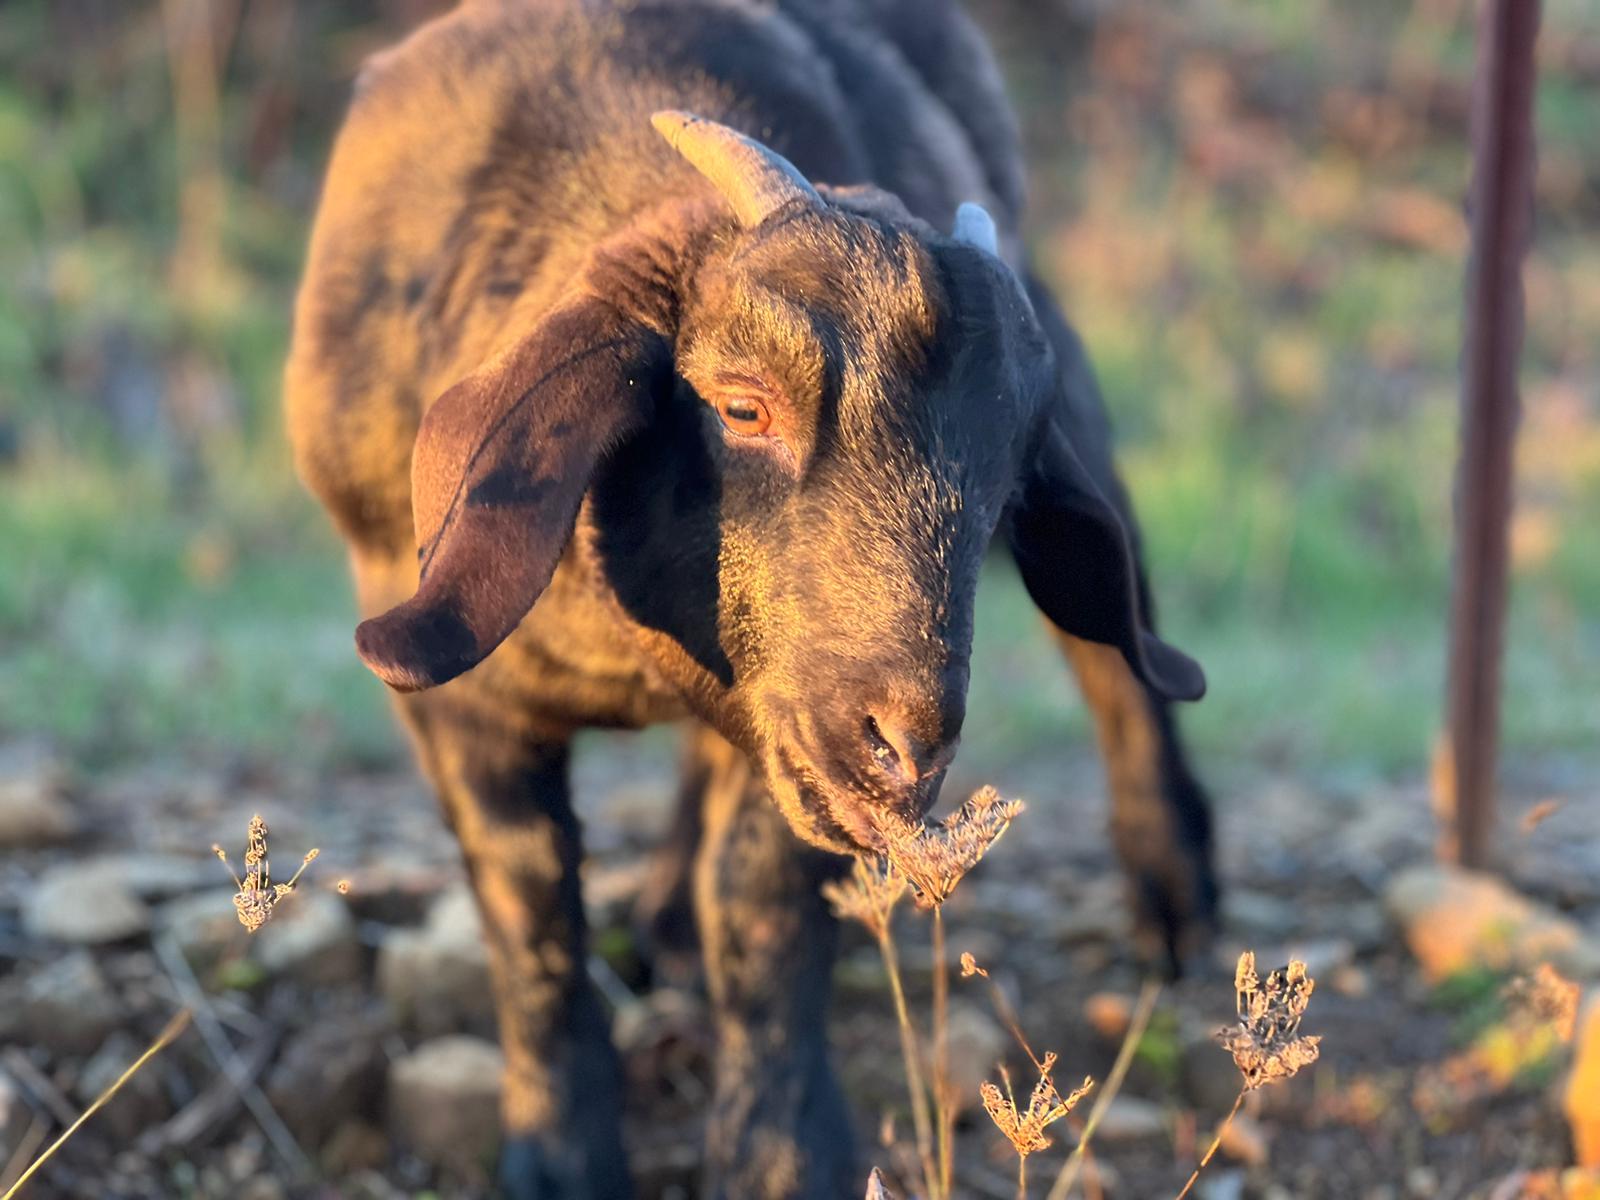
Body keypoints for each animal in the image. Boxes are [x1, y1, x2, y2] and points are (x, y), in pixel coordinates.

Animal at [286, 1, 1219, 1195]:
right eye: (742, 406)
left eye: (1012, 477)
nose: (906, 744)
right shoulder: (462, 698)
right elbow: (528, 897)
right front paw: (559, 1152)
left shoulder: (800, 753)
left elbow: (763, 909)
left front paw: (780, 1155)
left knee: (1116, 657)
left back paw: (1176, 903)